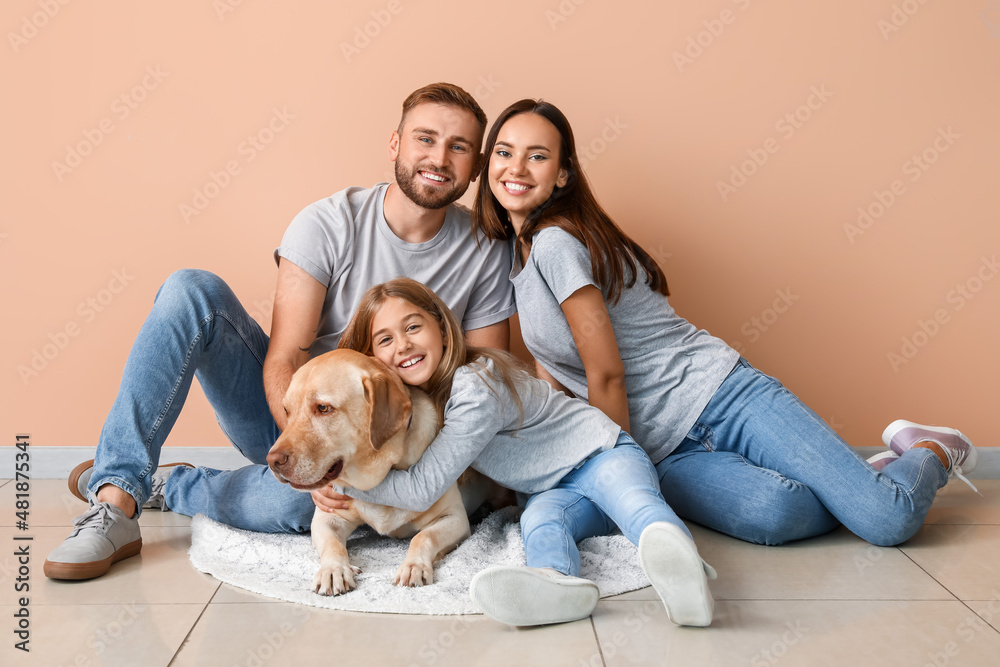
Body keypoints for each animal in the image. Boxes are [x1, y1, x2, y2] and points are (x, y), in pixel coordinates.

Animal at [264, 350, 470, 596]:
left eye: (323, 408)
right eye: (287, 410)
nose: (273, 461)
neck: (380, 476)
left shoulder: (455, 517)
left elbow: (424, 536)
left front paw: (414, 566)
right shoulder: (327, 518)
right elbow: (333, 546)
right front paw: (333, 570)